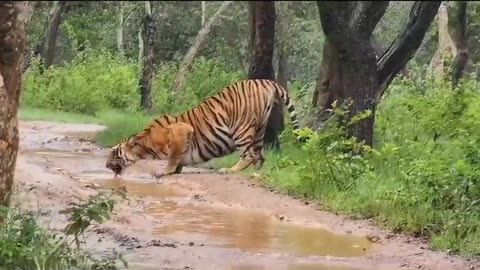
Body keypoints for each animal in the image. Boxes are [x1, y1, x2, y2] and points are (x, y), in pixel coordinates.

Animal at [105, 78, 300, 179]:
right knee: (260, 156)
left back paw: (230, 170)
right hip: (259, 129)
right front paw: (174, 170)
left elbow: (173, 157)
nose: (106, 165)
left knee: (249, 155)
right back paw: (257, 174)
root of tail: (264, 81)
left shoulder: (181, 131)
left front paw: (164, 171)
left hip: (241, 129)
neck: (145, 145)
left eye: (114, 153)